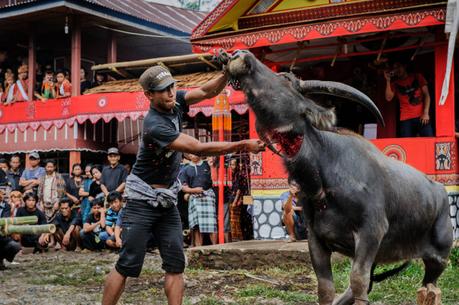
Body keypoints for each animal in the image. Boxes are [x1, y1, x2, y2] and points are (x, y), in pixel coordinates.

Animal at [221, 50, 454, 304]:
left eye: (285, 80)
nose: (241, 55)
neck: (323, 177)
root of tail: (440, 192)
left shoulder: (371, 231)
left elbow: (358, 281)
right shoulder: (316, 239)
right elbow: (326, 288)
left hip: (439, 257)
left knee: (429, 287)